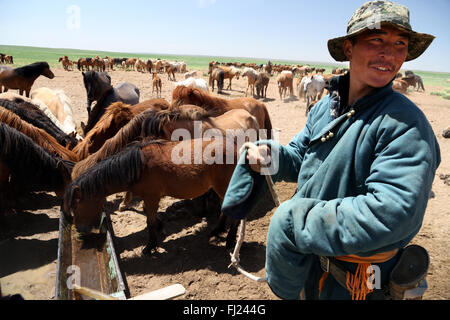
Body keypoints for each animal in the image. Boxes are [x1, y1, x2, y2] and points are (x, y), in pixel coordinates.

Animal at [62, 137, 241, 255]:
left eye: (76, 206)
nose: (79, 229)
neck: (138, 165)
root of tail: (236, 147)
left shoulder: (152, 197)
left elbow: (150, 222)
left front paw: (149, 247)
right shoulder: (148, 198)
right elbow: (152, 218)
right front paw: (159, 230)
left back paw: (230, 241)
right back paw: (217, 231)